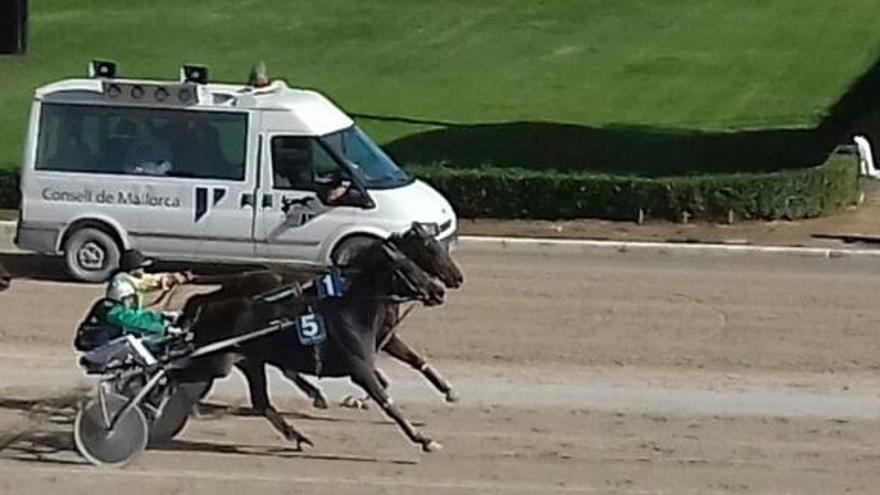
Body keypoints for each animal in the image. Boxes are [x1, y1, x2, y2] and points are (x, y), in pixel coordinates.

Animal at [183, 240, 450, 454]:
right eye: (408, 268)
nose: (439, 290)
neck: (351, 313)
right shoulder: (361, 370)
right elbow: (388, 403)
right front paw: (425, 440)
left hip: (250, 361)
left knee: (261, 402)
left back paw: (297, 433)